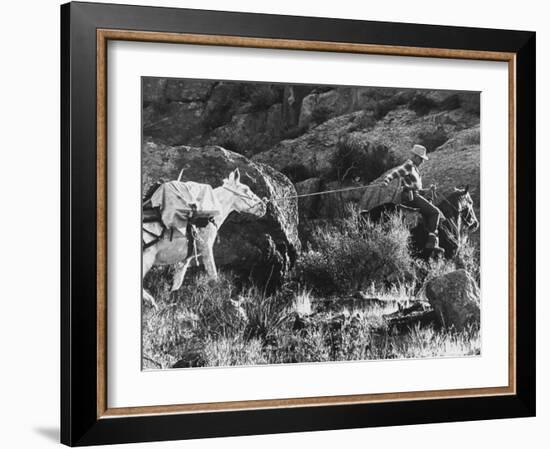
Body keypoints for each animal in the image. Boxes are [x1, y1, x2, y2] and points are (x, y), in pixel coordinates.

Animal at [142, 168, 268, 308]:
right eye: (246, 189)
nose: (264, 207)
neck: (210, 214)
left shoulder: (185, 259)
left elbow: (177, 283)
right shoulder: (206, 248)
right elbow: (213, 276)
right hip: (147, 259)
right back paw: (152, 302)